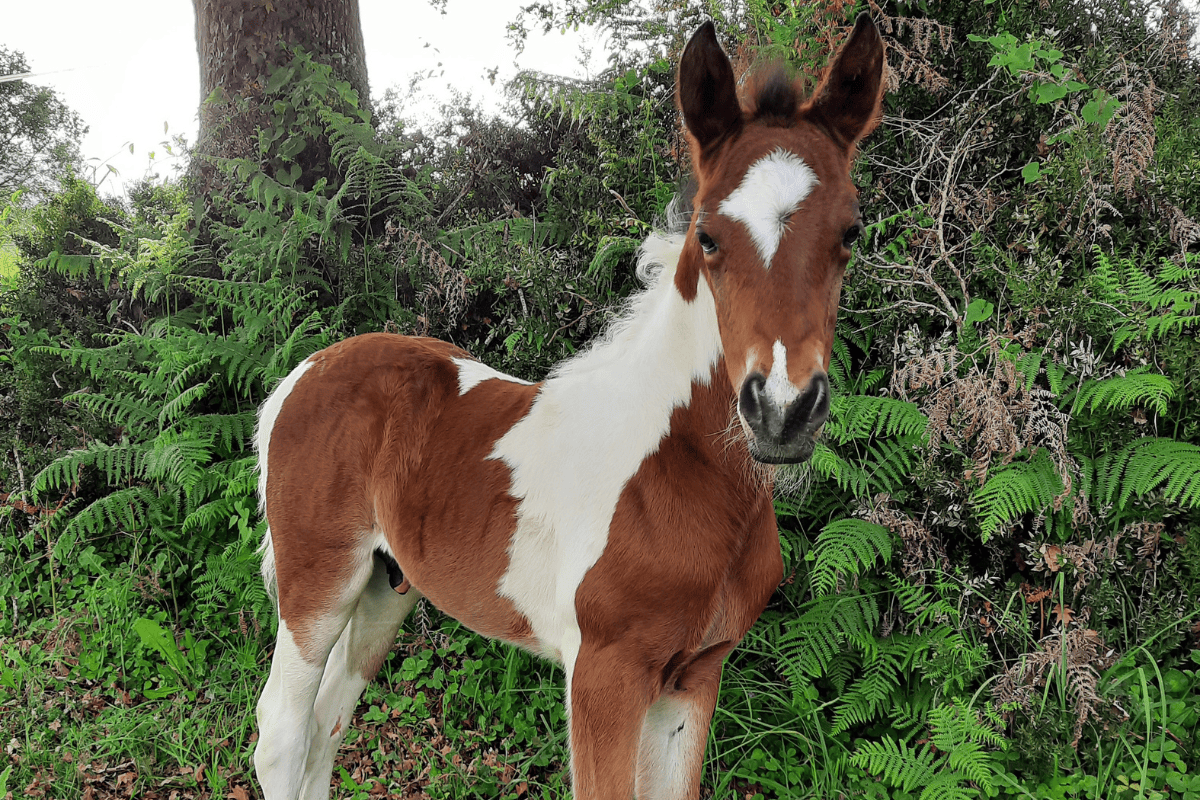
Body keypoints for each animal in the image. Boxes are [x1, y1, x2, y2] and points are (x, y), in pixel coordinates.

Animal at [252, 15, 884, 799]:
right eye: (708, 235)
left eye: (850, 233)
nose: (783, 410)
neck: (675, 476)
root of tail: (305, 372)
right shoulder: (604, 675)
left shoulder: (696, 676)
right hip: (319, 582)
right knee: (281, 736)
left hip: (384, 587)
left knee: (326, 729)